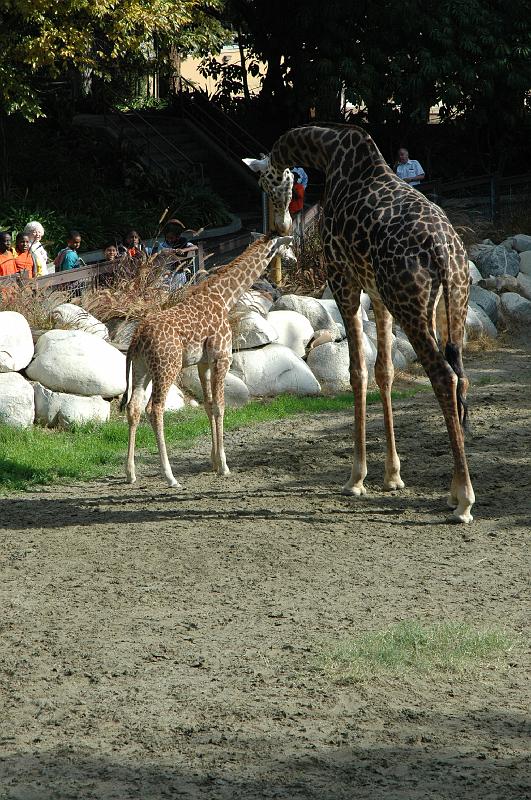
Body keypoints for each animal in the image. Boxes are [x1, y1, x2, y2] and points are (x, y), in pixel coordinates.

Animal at [121, 234, 290, 488]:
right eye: (287, 243)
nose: (293, 257)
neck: (224, 298)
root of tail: (137, 337)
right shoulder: (222, 357)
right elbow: (220, 406)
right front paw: (224, 466)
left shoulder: (203, 363)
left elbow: (209, 405)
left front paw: (214, 461)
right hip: (167, 367)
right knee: (155, 408)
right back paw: (170, 476)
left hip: (141, 369)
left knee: (134, 408)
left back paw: (131, 473)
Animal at [244, 123, 474, 524]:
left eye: (266, 183)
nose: (279, 225)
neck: (329, 153)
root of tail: (445, 254)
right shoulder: (378, 295)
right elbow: (384, 370)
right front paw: (393, 476)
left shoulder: (343, 278)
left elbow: (357, 371)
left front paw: (356, 478)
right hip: (451, 305)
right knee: (461, 376)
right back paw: (451, 491)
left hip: (410, 305)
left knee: (444, 377)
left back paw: (463, 500)